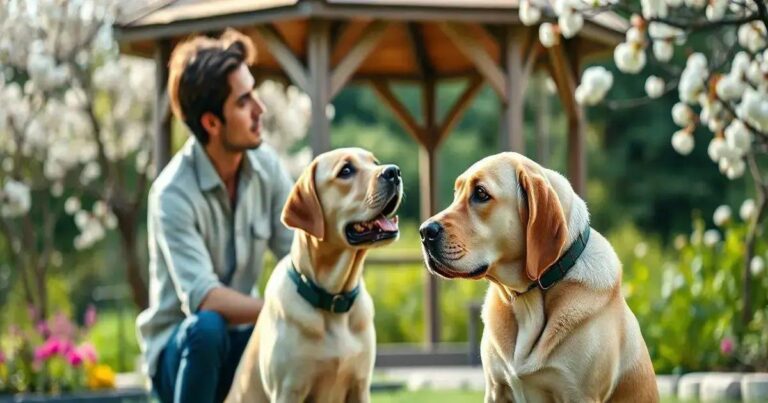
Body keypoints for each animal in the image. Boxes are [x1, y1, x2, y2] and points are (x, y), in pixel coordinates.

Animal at [225, 148, 402, 403]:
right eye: (346, 170)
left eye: (374, 162)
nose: (394, 172)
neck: (334, 300)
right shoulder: (288, 390)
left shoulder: (359, 386)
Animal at [416, 153, 656, 402]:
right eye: (457, 194)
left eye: (481, 193)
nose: (424, 231)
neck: (526, 298)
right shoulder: (495, 389)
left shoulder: (579, 394)